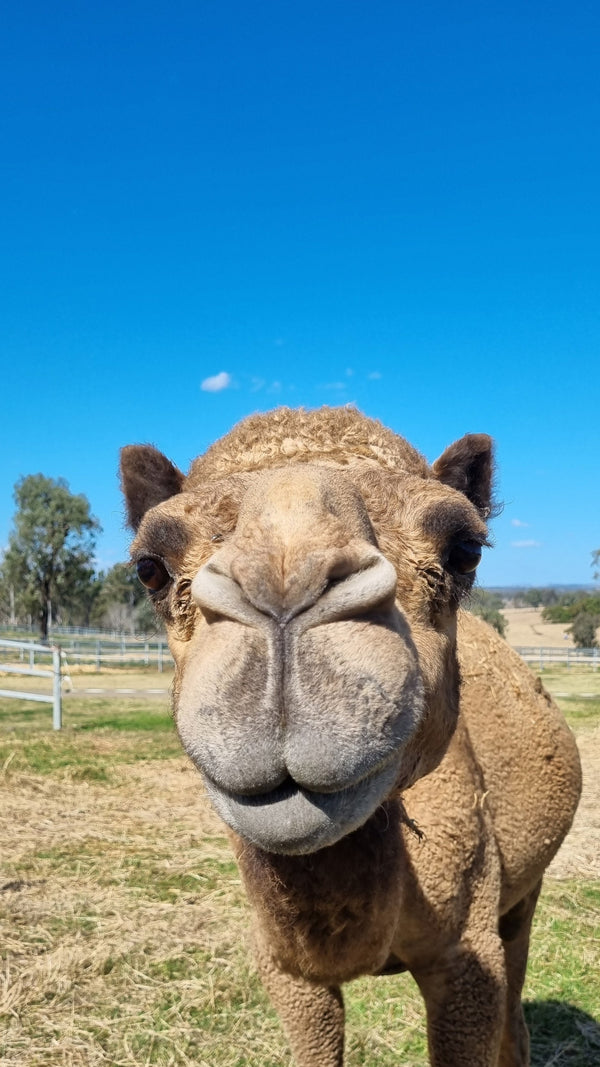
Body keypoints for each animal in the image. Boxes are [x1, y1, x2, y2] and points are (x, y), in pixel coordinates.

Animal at [119, 407, 581, 1067]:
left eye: (465, 551)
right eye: (150, 568)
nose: (284, 580)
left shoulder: (467, 955)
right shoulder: (286, 970)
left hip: (523, 896)